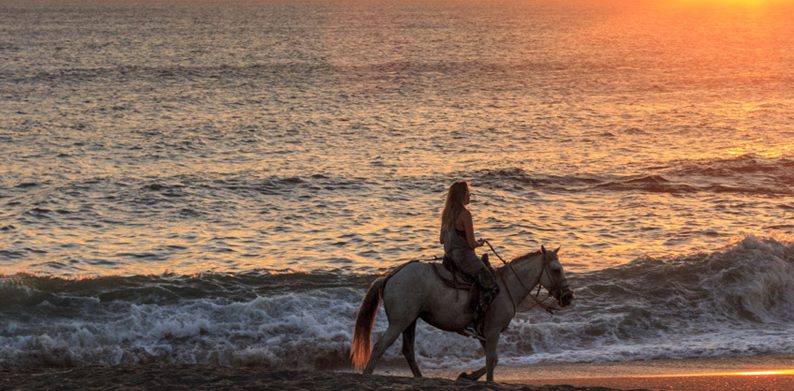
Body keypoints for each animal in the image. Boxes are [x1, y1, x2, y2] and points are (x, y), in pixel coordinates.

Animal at [350, 245, 572, 382]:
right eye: (556, 269)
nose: (568, 297)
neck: (506, 286)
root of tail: (391, 276)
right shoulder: (492, 332)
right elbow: (491, 361)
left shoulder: (484, 333)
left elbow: (493, 359)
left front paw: (467, 376)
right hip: (400, 322)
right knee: (380, 346)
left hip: (410, 321)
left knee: (408, 351)